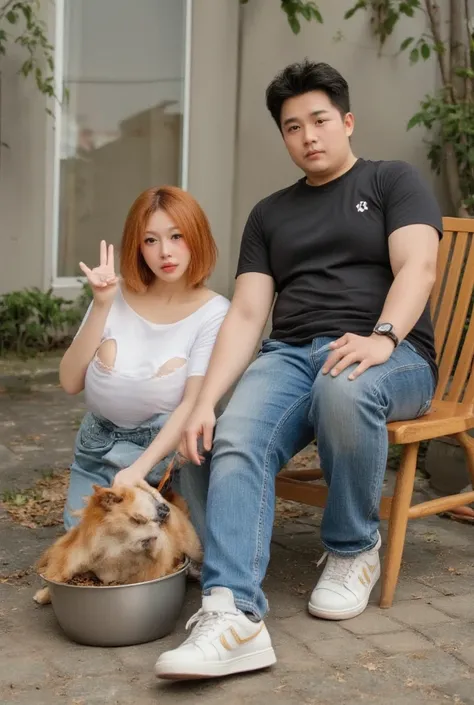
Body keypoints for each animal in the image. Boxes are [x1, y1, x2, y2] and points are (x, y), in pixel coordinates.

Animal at [33, 478, 202, 604]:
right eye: (137, 520)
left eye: (158, 524)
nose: (165, 508)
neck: (116, 549)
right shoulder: (74, 560)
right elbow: (60, 575)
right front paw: (45, 594)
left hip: (192, 547)